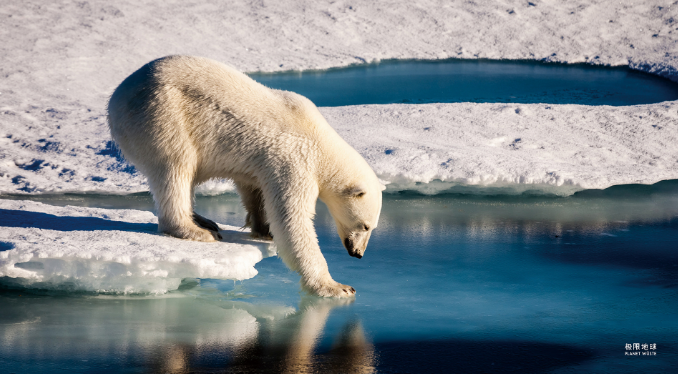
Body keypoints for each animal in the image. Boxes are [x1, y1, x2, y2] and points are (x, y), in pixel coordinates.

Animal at [110, 55, 388, 298]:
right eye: (365, 226)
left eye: (372, 227)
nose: (358, 253)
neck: (320, 141)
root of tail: (116, 97)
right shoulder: (295, 160)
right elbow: (292, 220)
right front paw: (337, 287)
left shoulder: (262, 163)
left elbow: (253, 189)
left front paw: (263, 229)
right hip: (163, 115)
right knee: (176, 167)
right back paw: (196, 230)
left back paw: (204, 220)